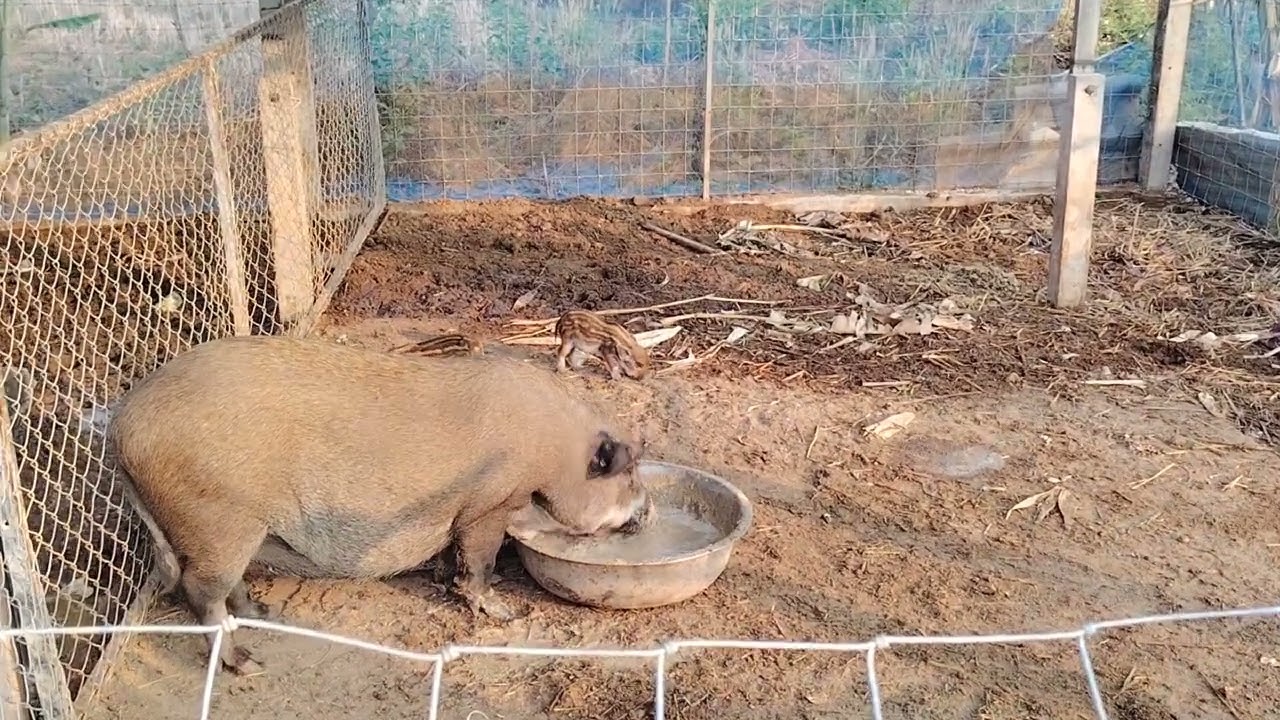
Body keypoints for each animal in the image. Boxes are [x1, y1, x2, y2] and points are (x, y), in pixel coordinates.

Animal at [106, 335, 653, 675]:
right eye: (627, 472)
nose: (648, 510)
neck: (554, 452)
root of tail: (121, 426)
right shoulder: (489, 504)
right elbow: (480, 558)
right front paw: (504, 613)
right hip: (219, 521)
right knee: (199, 589)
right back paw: (247, 665)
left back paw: (264, 611)